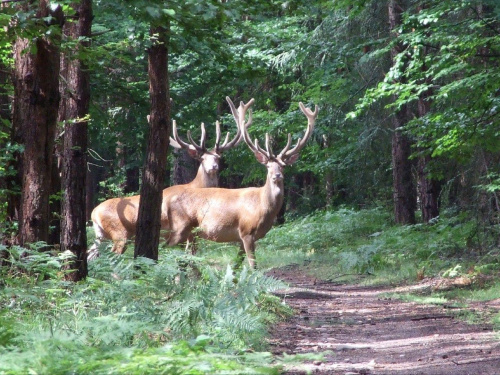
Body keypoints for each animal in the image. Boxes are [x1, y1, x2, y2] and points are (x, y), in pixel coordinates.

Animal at [87, 97, 254, 260]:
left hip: (101, 235)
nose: (213, 166)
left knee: (91, 254)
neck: (196, 187)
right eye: (202, 159)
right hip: (119, 232)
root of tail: (94, 213)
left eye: (218, 158)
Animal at [166, 98, 318, 268]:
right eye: (268, 166)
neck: (262, 207)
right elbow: (253, 266)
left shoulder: (241, 238)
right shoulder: (246, 231)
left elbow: (237, 265)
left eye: (283, 166)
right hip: (181, 229)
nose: (277, 176)